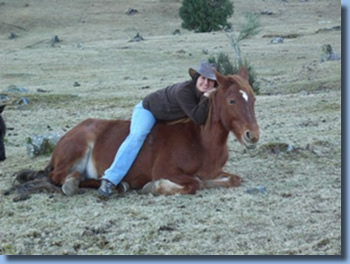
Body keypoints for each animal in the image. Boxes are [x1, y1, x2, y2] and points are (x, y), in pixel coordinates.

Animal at [12, 69, 258, 197]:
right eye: (232, 100)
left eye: (253, 98)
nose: (252, 136)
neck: (201, 141)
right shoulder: (166, 170)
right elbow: (193, 183)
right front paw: (155, 186)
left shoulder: (214, 172)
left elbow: (233, 179)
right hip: (77, 151)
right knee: (58, 176)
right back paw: (75, 183)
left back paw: (118, 185)